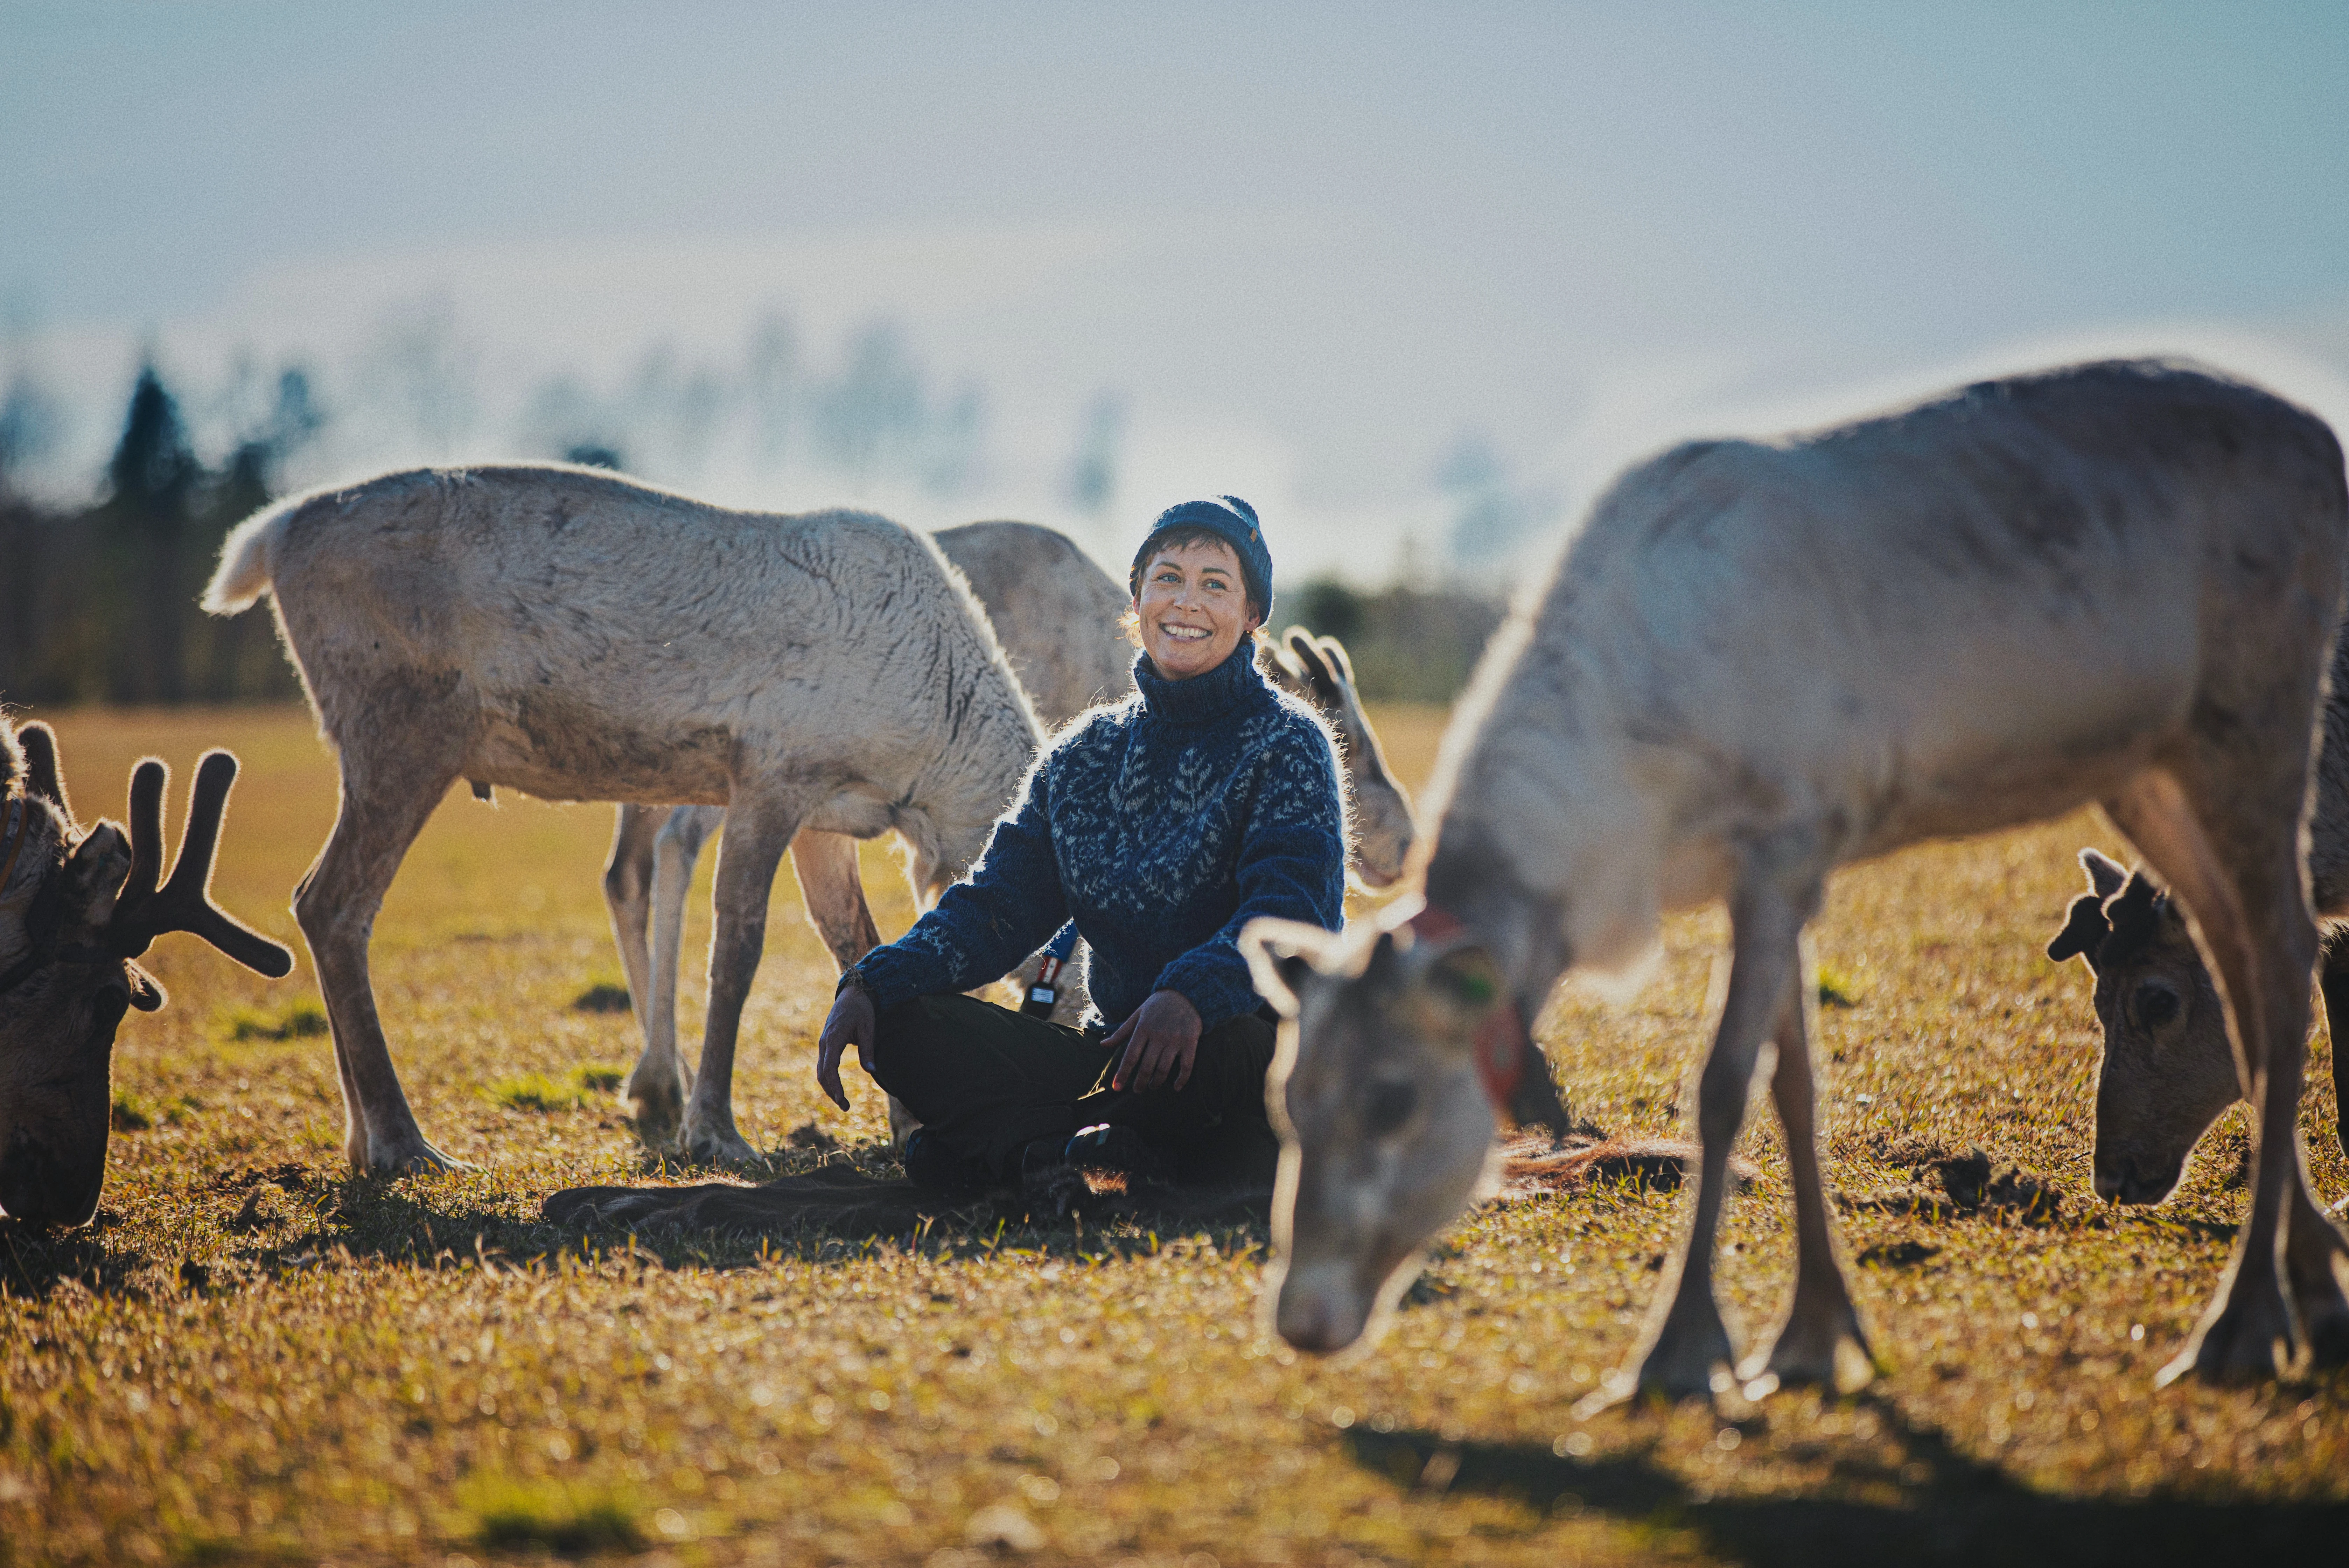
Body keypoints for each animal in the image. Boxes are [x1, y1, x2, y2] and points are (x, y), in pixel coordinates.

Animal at [200, 463, 1043, 1170]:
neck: (931, 760)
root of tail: (270, 537)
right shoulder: (769, 778)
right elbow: (737, 952)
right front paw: (714, 1130)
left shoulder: (826, 818)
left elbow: (858, 947)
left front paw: (907, 1117)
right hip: (402, 735)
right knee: (333, 903)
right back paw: (406, 1144)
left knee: (316, 903)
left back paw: (361, 1141)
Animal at [1242, 360, 2349, 1399]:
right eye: (1286, 1100)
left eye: (1391, 1099)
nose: (1300, 1319)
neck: (1623, 819)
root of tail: (2319, 442)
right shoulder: (1772, 871)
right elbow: (1796, 1084)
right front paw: (1815, 1336)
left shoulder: (1781, 841)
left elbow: (1724, 1086)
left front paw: (1682, 1349)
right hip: (2150, 767)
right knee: (2239, 961)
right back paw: (2315, 1282)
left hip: (2257, 708)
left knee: (2287, 952)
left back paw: (2241, 1325)